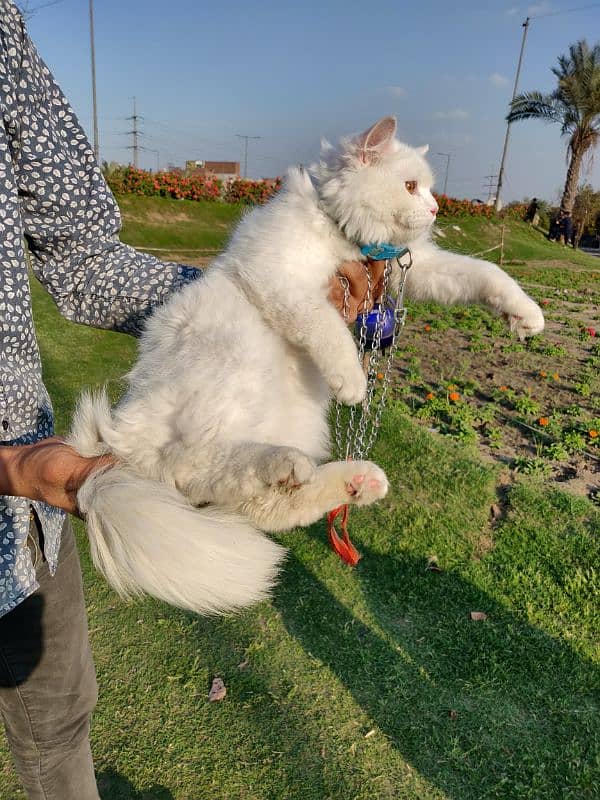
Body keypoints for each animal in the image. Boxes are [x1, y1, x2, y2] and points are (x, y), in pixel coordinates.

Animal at [70, 119, 544, 616]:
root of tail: (122, 443)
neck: (342, 233)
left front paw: (527, 317)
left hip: (293, 422)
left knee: (263, 503)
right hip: (229, 373)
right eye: (411, 187)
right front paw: (353, 380)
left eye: (430, 189)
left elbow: (485, 274)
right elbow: (327, 328)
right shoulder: (284, 283)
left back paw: (353, 480)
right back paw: (294, 462)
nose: (435, 208)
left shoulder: (417, 268)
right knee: (189, 465)